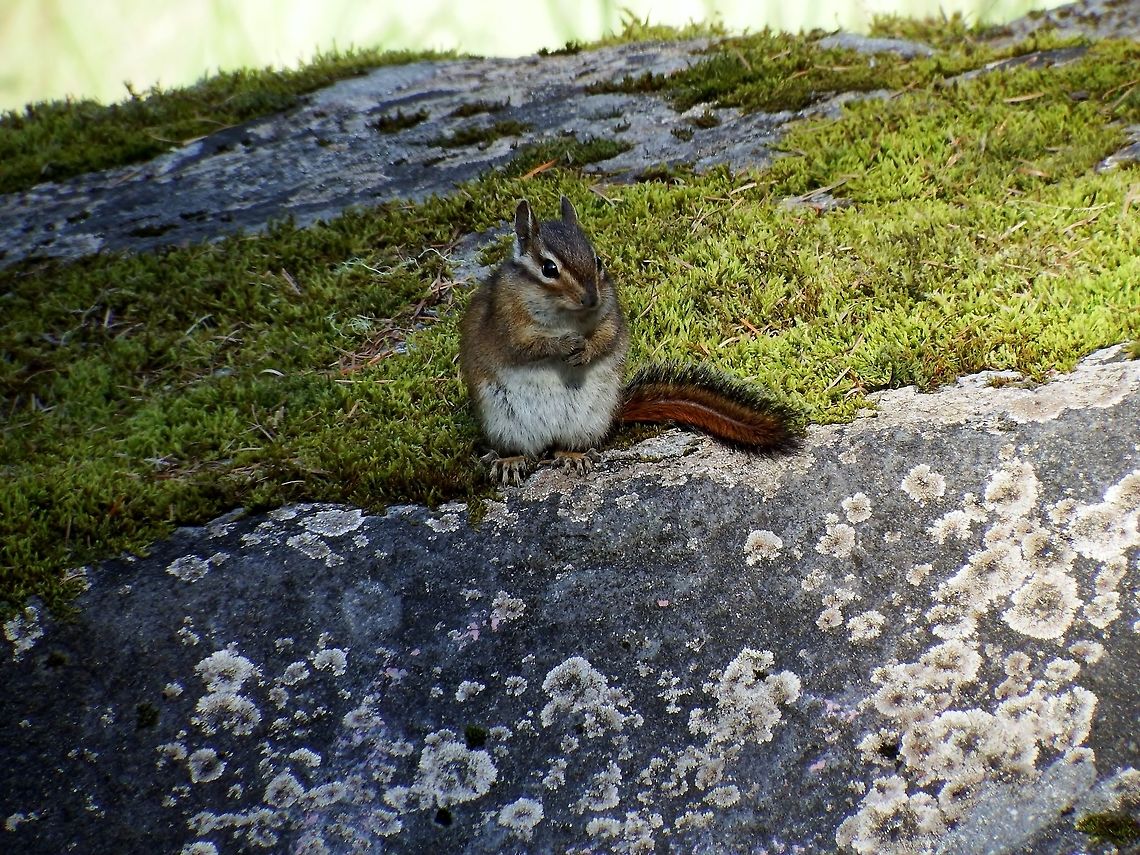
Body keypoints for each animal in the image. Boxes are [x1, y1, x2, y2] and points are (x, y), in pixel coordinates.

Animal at [459, 196, 801, 485]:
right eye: (548, 268)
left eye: (597, 260)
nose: (591, 298)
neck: (565, 318)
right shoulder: (507, 322)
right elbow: (526, 346)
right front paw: (565, 345)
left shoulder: (610, 314)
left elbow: (607, 337)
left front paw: (586, 350)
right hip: (504, 422)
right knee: (522, 449)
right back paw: (511, 461)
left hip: (588, 420)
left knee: (563, 447)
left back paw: (574, 455)